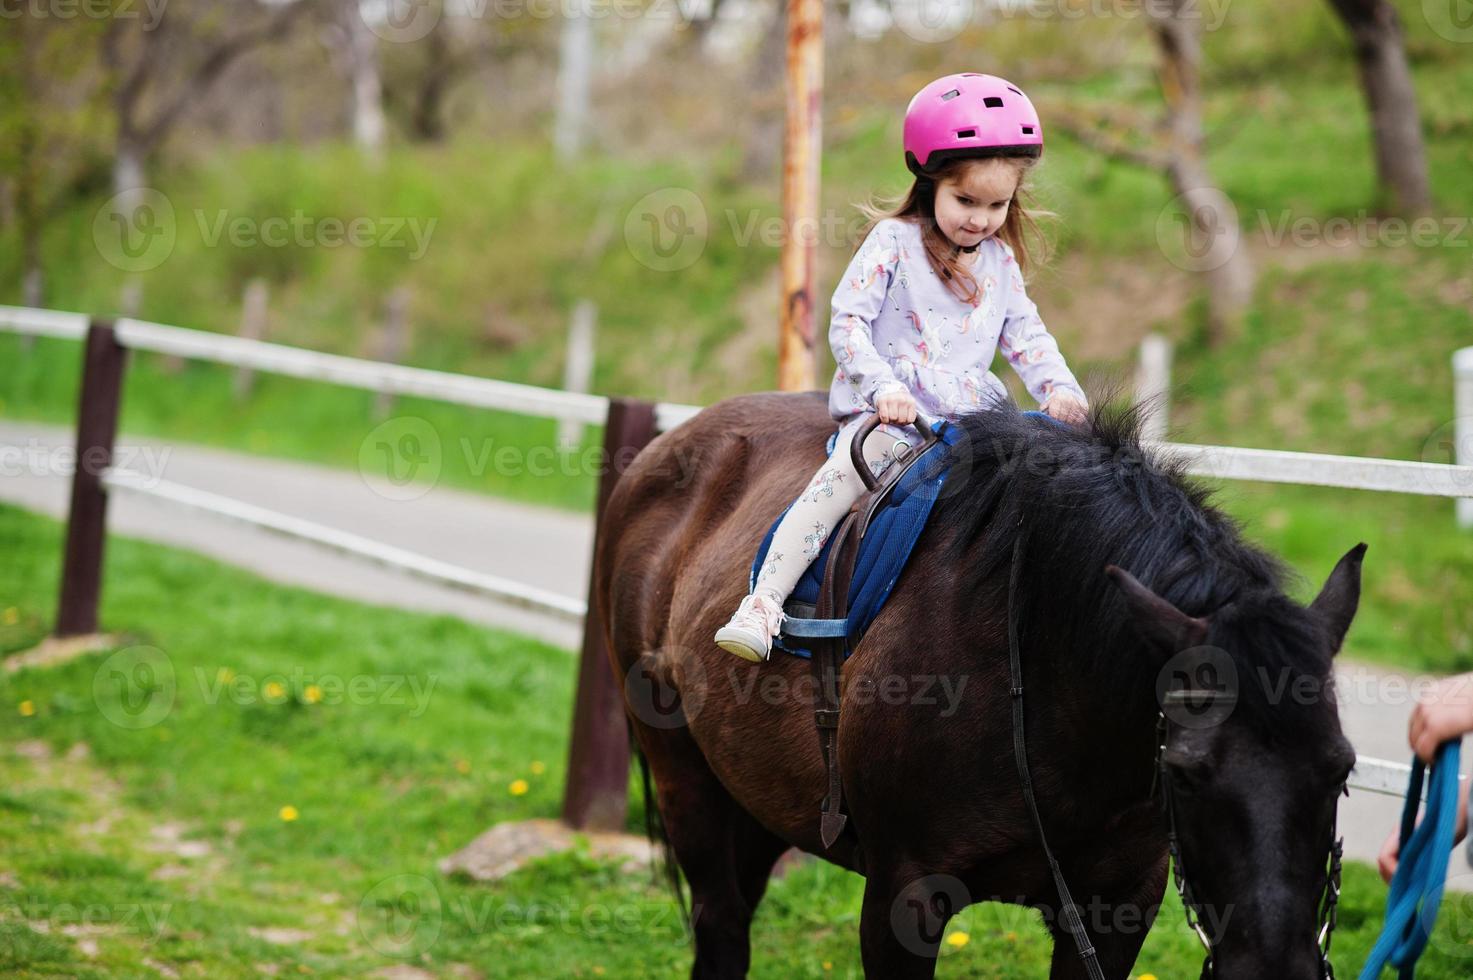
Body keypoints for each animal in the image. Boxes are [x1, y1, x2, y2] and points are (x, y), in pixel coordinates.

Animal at [592, 392, 1361, 978]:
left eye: (1341, 772)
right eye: (1186, 772)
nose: (1275, 971)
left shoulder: (1114, 912)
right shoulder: (902, 899)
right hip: (685, 778)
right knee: (720, 926)